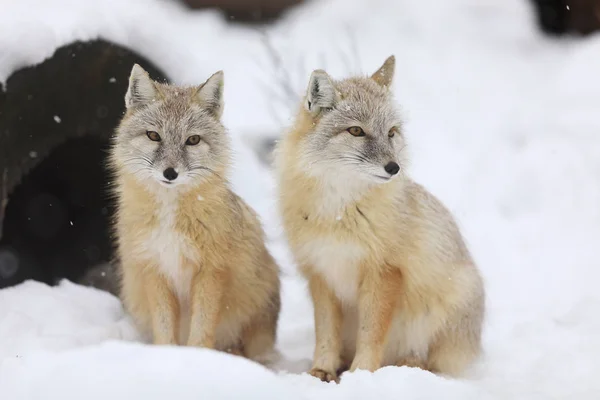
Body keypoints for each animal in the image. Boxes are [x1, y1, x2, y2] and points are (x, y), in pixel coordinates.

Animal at [108, 63, 282, 366]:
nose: (170, 173)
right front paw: (170, 358)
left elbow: (202, 329)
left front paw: (197, 360)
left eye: (192, 140)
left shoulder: (211, 271)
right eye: (153, 136)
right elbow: (164, 329)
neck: (170, 218)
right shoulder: (155, 269)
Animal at [274, 55, 486, 382]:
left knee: (432, 363)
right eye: (356, 131)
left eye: (391, 132)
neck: (338, 213)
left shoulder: (383, 273)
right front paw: (321, 369)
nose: (393, 167)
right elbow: (325, 334)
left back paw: (408, 366)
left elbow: (371, 333)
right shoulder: (321, 273)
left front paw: (361, 374)